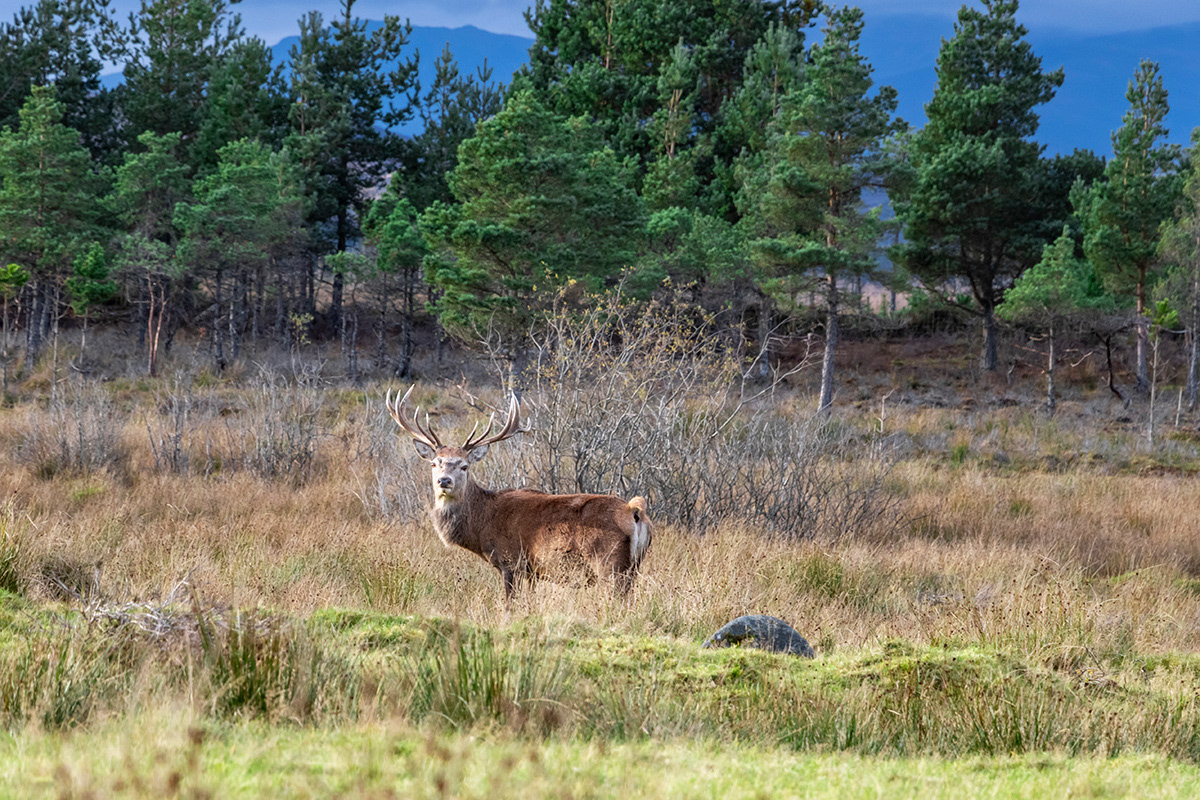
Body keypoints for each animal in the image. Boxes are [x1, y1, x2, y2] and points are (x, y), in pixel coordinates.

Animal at [386, 386, 652, 605]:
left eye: (464, 466)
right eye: (434, 463)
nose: (444, 481)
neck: (482, 523)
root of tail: (635, 512)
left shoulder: (511, 561)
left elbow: (510, 604)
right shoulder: (533, 571)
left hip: (610, 564)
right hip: (634, 566)